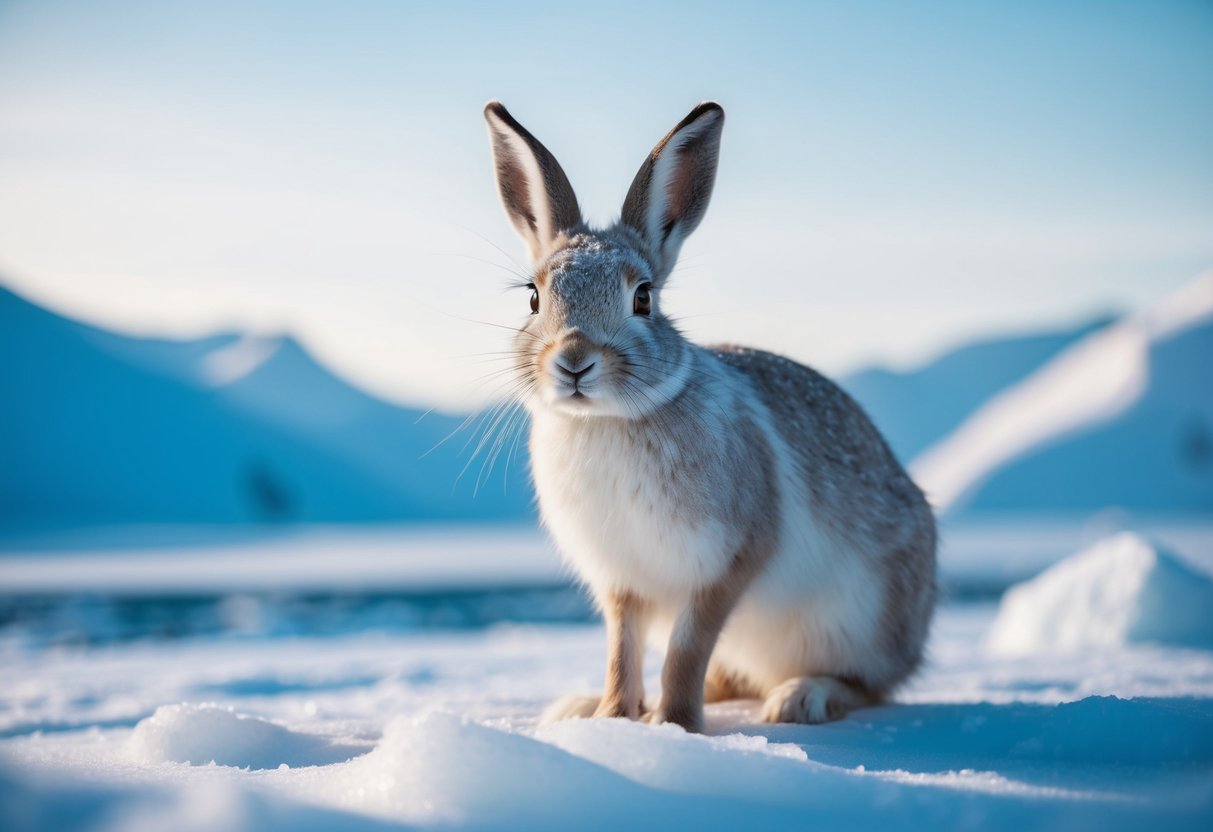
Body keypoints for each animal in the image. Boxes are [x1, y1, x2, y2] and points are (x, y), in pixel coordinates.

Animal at [483, 100, 937, 733]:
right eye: (533, 296)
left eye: (643, 298)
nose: (573, 361)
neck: (609, 420)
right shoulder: (623, 581)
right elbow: (622, 651)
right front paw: (613, 718)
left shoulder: (728, 562)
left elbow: (686, 649)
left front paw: (671, 725)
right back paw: (577, 706)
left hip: (860, 619)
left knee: (868, 685)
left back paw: (801, 698)